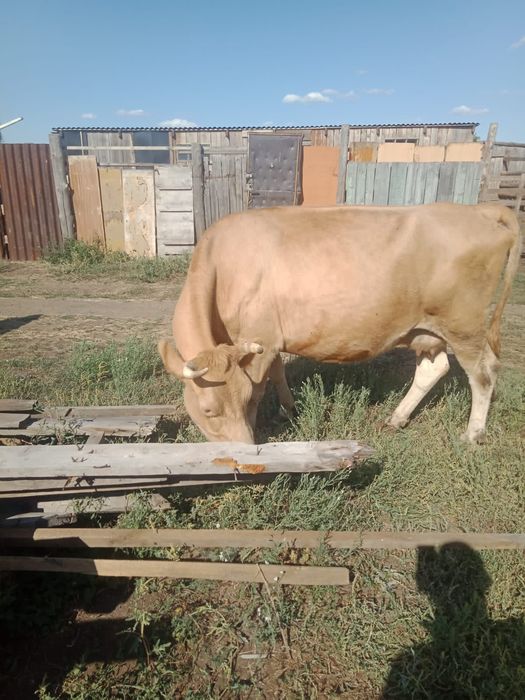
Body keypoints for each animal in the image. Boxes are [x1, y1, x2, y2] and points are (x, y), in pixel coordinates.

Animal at [159, 203, 521, 444]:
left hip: (465, 326)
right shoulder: (265, 341)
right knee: (434, 369)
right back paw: (397, 418)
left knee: (484, 374)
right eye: (208, 411)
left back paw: (472, 434)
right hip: (428, 329)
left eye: (241, 401)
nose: (243, 450)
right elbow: (277, 373)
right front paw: (289, 409)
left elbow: (261, 385)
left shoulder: (259, 338)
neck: (224, 265)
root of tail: (478, 210)